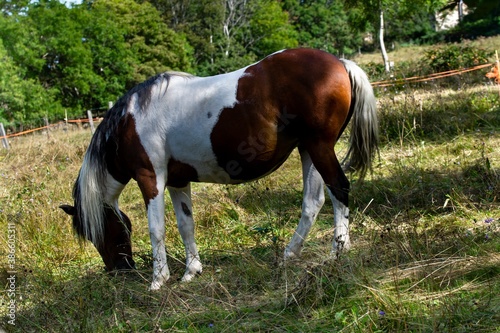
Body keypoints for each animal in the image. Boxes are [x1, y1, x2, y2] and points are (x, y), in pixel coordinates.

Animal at [60, 48, 376, 290]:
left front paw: (158, 280)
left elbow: (156, 228)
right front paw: (191, 271)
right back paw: (289, 253)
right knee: (313, 201)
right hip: (308, 149)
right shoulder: (177, 182)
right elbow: (185, 225)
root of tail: (340, 63)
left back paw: (338, 249)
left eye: (96, 233)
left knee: (339, 188)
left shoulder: (151, 178)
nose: (120, 270)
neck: (131, 121)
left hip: (319, 147)